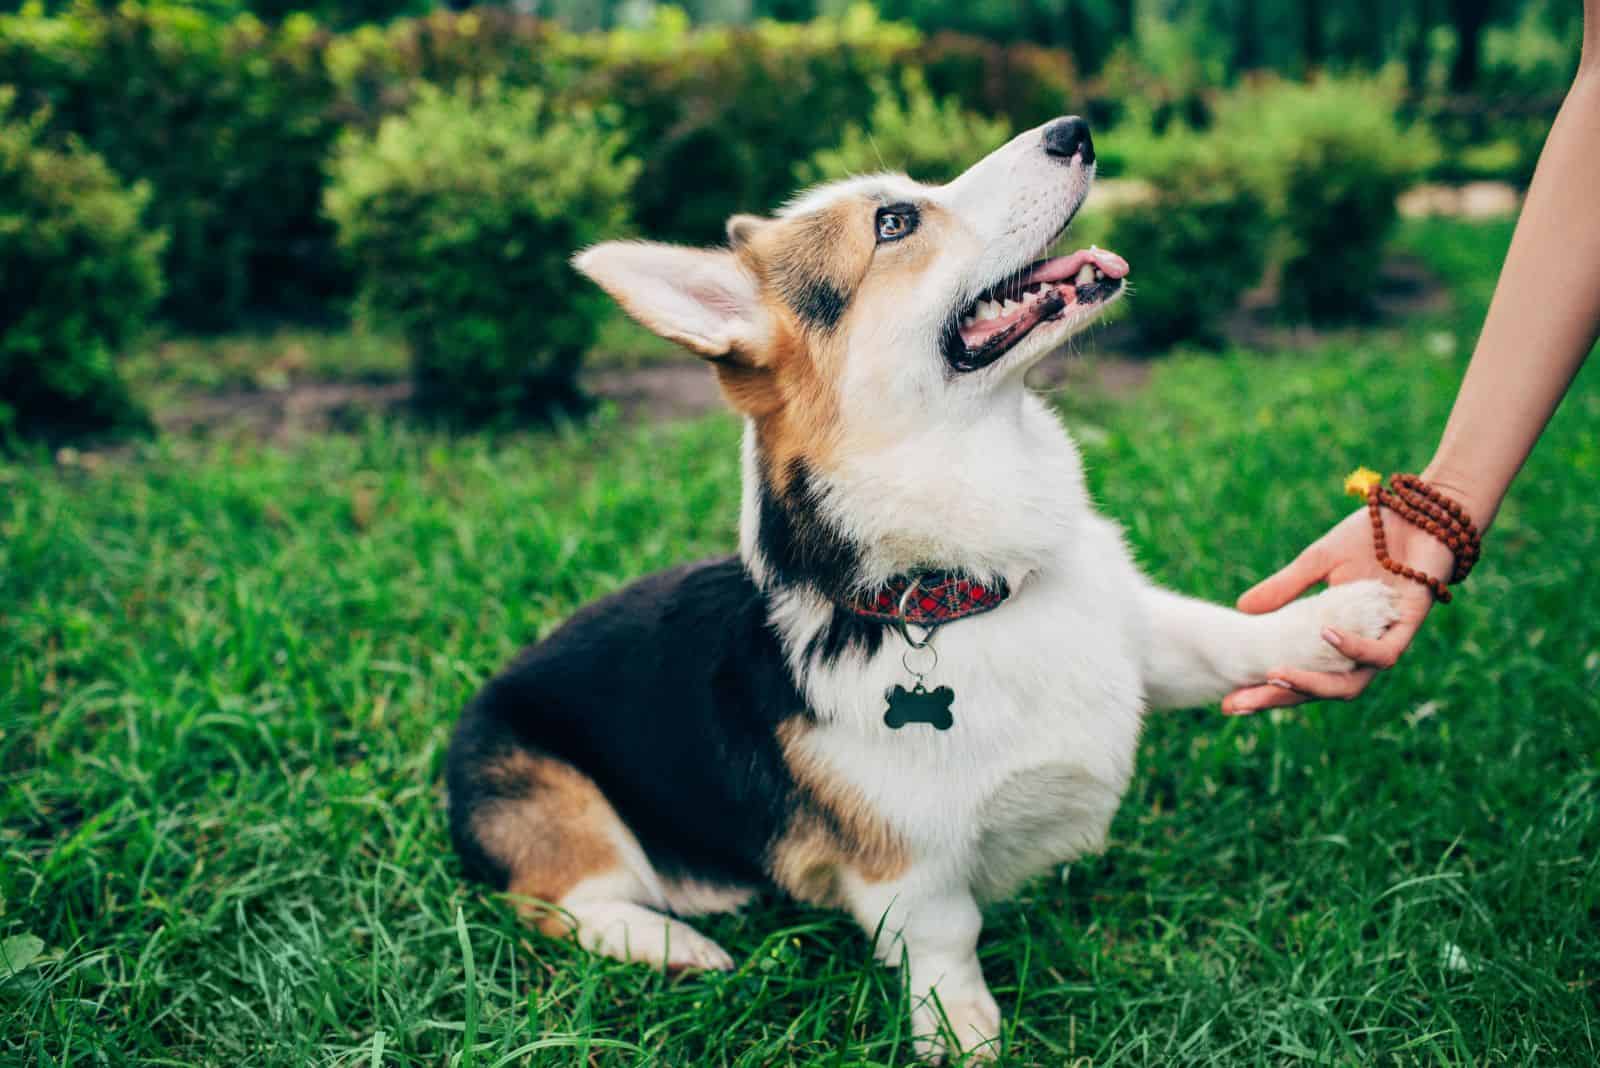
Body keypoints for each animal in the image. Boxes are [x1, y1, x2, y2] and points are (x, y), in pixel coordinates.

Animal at [451, 115, 1401, 1061]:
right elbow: (948, 937)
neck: (969, 591)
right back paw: (674, 941)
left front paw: (1350, 611)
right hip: (548, 792)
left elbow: (1224, 637)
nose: (1075, 129)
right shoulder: (907, 864)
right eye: (896, 222)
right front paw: (964, 1030)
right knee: (560, 900)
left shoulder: (1136, 631)